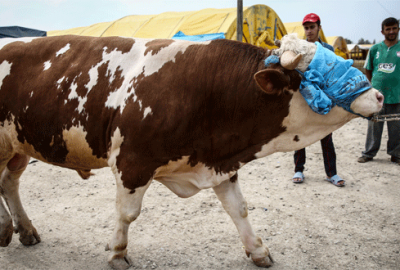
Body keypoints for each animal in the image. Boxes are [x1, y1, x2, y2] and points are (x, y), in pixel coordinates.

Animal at [0, 33, 382, 268]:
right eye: (326, 69)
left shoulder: (220, 163)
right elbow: (127, 214)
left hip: (18, 146)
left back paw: (23, 230)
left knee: (9, 182)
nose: (379, 96)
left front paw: (258, 251)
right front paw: (118, 254)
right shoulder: (132, 162)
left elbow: (238, 209)